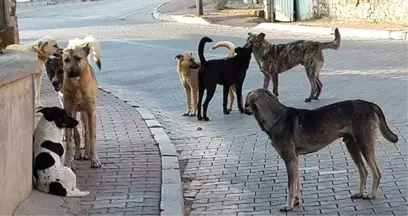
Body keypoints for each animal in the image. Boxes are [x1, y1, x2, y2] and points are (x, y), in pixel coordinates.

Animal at [61, 35, 102, 169]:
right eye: (66, 60)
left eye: (78, 58)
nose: (70, 72)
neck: (77, 85)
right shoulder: (70, 111)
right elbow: (70, 139)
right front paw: (68, 161)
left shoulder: (91, 112)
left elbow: (92, 137)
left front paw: (94, 159)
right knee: (77, 134)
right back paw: (78, 153)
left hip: (85, 114)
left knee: (87, 132)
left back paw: (87, 153)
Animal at [242, 87, 398, 211]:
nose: (243, 109)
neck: (276, 118)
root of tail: (370, 104)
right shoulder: (295, 159)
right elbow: (296, 183)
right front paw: (296, 201)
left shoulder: (289, 159)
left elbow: (290, 186)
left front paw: (288, 206)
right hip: (352, 145)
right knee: (364, 171)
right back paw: (360, 193)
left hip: (364, 144)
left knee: (376, 172)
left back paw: (371, 194)